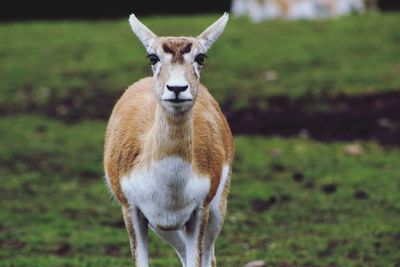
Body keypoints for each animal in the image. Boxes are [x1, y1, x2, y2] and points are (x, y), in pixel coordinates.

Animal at [104, 13, 234, 267]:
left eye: (200, 57)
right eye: (153, 56)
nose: (176, 88)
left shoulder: (200, 211)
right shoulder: (133, 211)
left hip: (217, 210)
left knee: (209, 256)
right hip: (164, 226)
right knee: (183, 252)